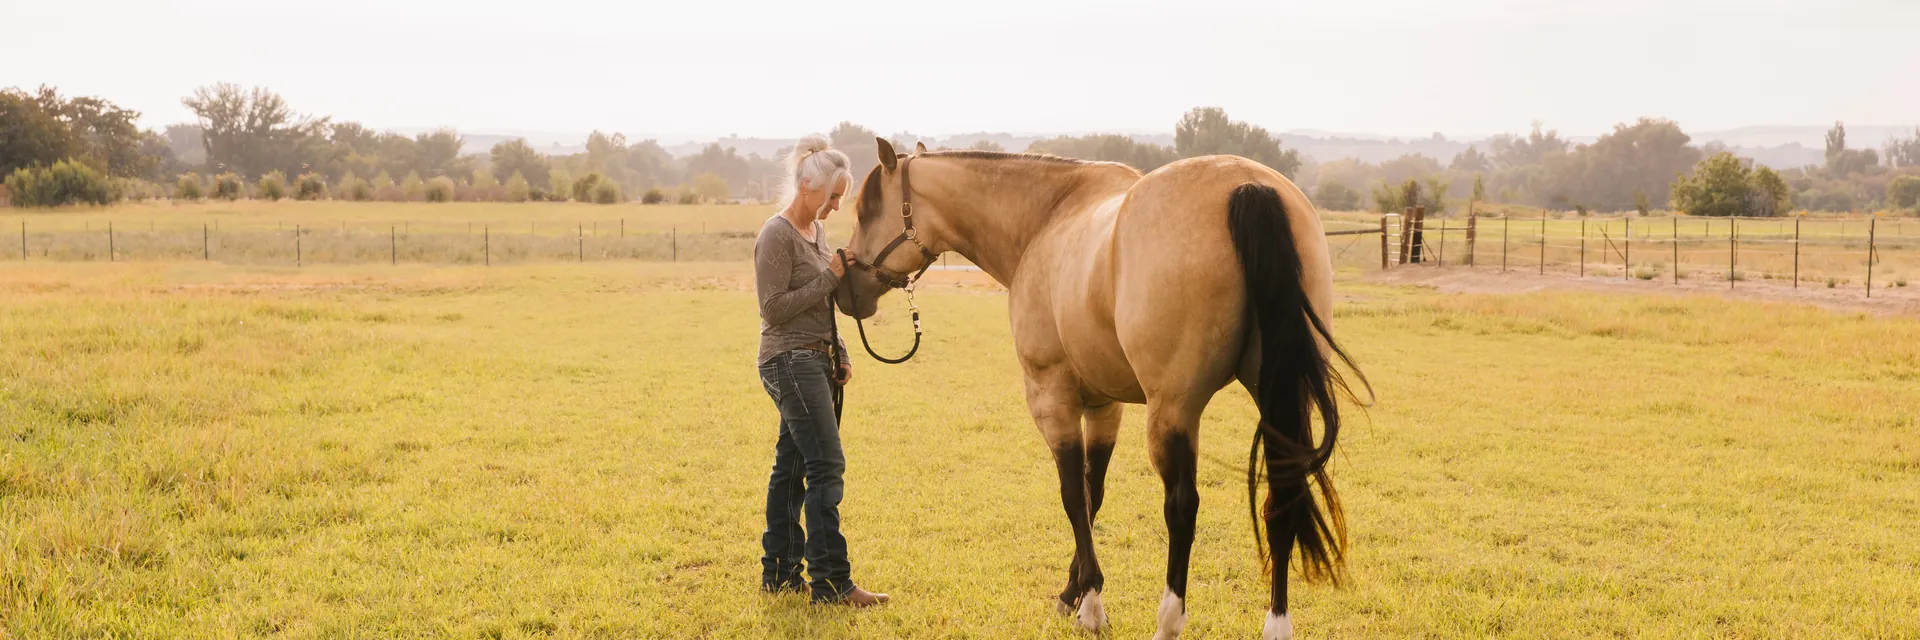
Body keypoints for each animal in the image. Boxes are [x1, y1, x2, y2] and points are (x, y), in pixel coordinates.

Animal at [835, 138, 1366, 639]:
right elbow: (1095, 493)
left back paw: (1168, 620)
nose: (845, 290)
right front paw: (1073, 591)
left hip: (1174, 409)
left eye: (865, 211)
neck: (1046, 219)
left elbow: (1073, 494)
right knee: (1282, 497)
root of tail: (1247, 186)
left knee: (1182, 507)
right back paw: (1277, 623)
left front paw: (1090, 606)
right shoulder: (1105, 405)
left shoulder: (1052, 397)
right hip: (1275, 396)